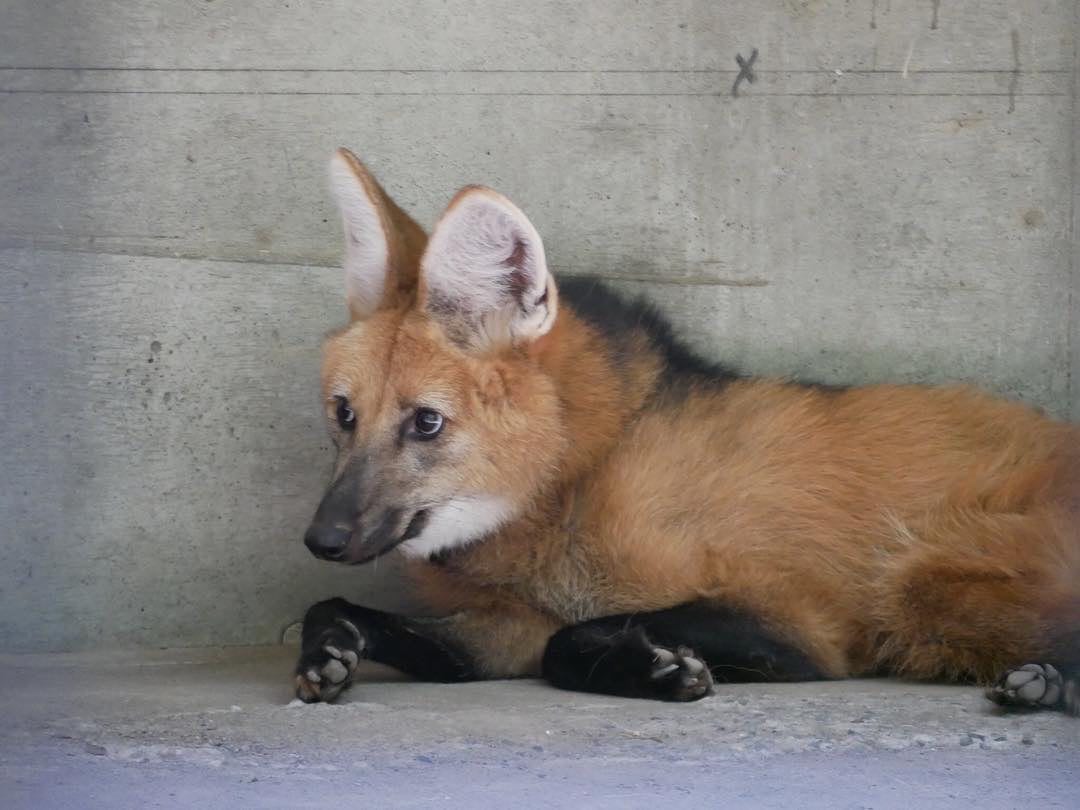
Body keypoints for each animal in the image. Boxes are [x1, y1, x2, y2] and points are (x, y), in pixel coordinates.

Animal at [294, 148, 1079, 711]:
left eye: (426, 422)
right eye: (344, 414)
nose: (321, 540)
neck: (581, 476)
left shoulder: (799, 620)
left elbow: (569, 641)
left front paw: (660, 668)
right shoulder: (507, 623)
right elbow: (334, 607)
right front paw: (325, 655)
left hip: (916, 577)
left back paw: (1047, 684)